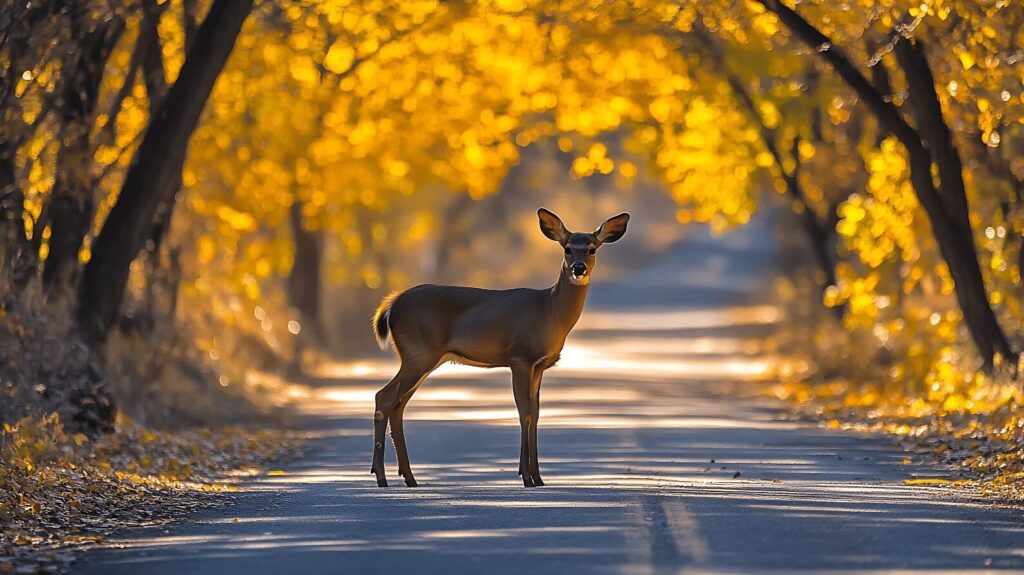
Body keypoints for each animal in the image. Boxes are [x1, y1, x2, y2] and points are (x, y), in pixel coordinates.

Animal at [368, 207, 622, 484]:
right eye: (566, 248)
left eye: (592, 249)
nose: (578, 268)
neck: (550, 311)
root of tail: (392, 304)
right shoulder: (520, 357)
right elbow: (525, 412)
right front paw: (527, 477)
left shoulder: (539, 365)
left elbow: (536, 413)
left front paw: (537, 477)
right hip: (418, 354)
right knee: (384, 397)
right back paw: (381, 477)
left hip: (423, 359)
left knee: (398, 405)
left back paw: (408, 477)